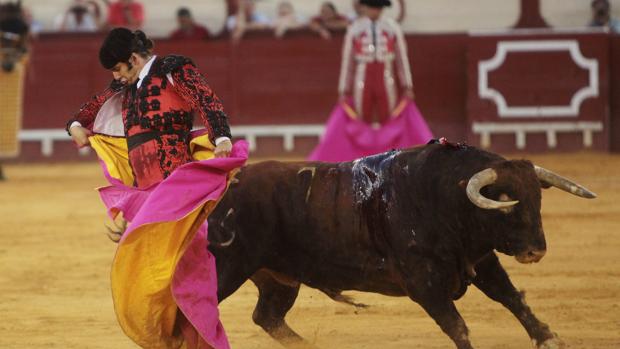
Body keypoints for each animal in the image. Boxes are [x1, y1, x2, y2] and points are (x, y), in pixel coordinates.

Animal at [206, 141, 592, 348]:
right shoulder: (423, 282)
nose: (536, 250)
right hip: (227, 268)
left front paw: (547, 337)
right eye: (506, 201)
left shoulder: (480, 260)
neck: (443, 195)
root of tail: (225, 187)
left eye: (537, 199)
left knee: (267, 316)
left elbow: (511, 298)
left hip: (277, 277)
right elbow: (456, 324)